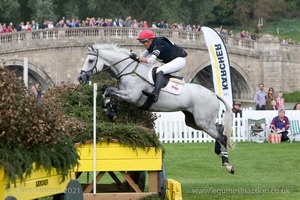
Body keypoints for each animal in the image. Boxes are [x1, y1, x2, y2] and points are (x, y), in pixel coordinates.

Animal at [77, 43, 234, 173]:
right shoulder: (124, 93)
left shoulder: (131, 96)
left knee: (222, 136)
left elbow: (108, 90)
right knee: (219, 129)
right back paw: (219, 152)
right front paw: (110, 110)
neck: (129, 71)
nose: (80, 78)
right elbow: (106, 89)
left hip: (203, 121)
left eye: (90, 61)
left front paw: (110, 110)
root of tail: (213, 94)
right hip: (194, 121)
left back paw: (227, 164)